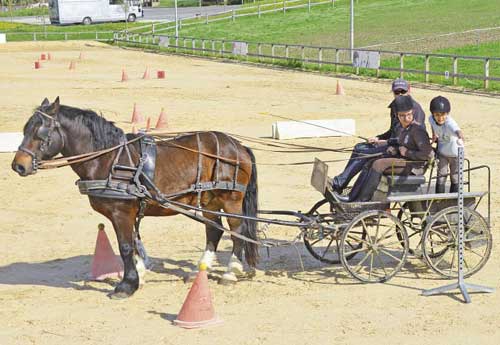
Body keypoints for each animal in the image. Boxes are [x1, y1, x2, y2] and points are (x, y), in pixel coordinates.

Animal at [11, 97, 260, 298]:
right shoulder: (125, 214)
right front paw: (139, 273)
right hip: (209, 200)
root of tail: (238, 146)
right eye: (25, 129)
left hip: (230, 199)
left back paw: (231, 271)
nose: (18, 166)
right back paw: (201, 269)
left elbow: (125, 247)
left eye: (40, 133)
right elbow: (132, 243)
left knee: (236, 231)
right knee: (214, 230)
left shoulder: (121, 212)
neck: (109, 158)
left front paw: (127, 285)